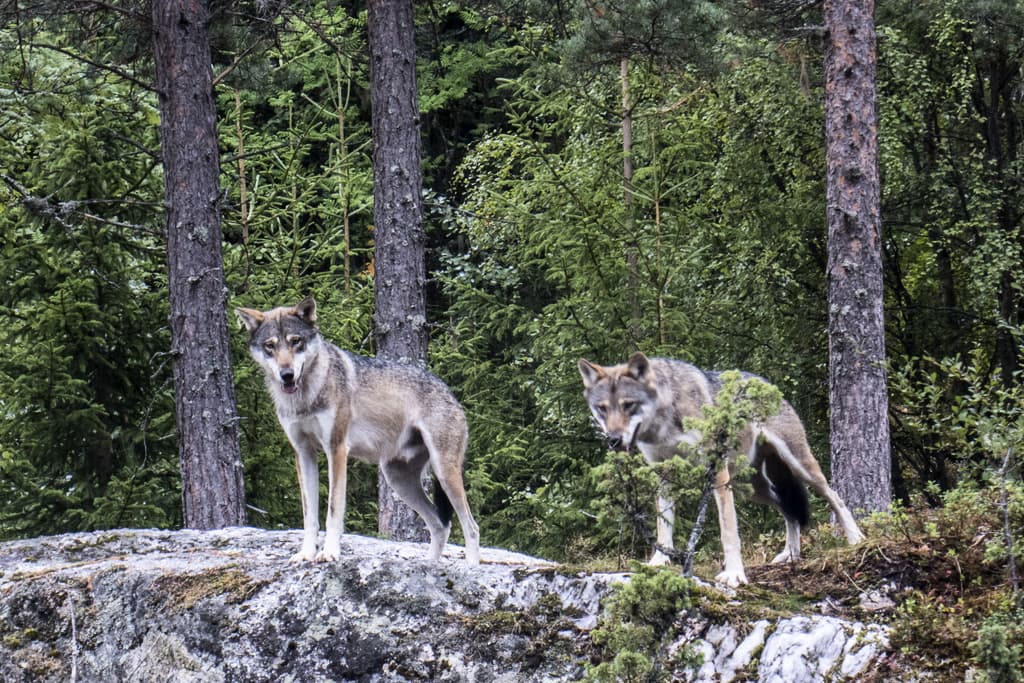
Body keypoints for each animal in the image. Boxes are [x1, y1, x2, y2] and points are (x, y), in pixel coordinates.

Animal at [236, 297, 480, 565]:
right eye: (270, 346)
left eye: (295, 341)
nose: (287, 374)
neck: (306, 397)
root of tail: (452, 395)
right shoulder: (303, 453)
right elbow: (309, 515)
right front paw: (306, 553)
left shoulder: (337, 449)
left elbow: (333, 510)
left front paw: (329, 552)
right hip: (398, 480)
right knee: (440, 526)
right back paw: (430, 566)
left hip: (444, 473)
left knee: (471, 527)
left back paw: (470, 567)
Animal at [578, 352, 864, 587]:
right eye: (602, 409)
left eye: (628, 405)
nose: (613, 439)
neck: (664, 422)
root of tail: (765, 382)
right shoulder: (664, 475)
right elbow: (663, 526)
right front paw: (659, 562)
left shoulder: (716, 472)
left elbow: (728, 530)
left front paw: (735, 574)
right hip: (751, 488)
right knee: (789, 511)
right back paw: (791, 554)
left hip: (797, 467)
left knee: (833, 497)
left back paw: (855, 538)